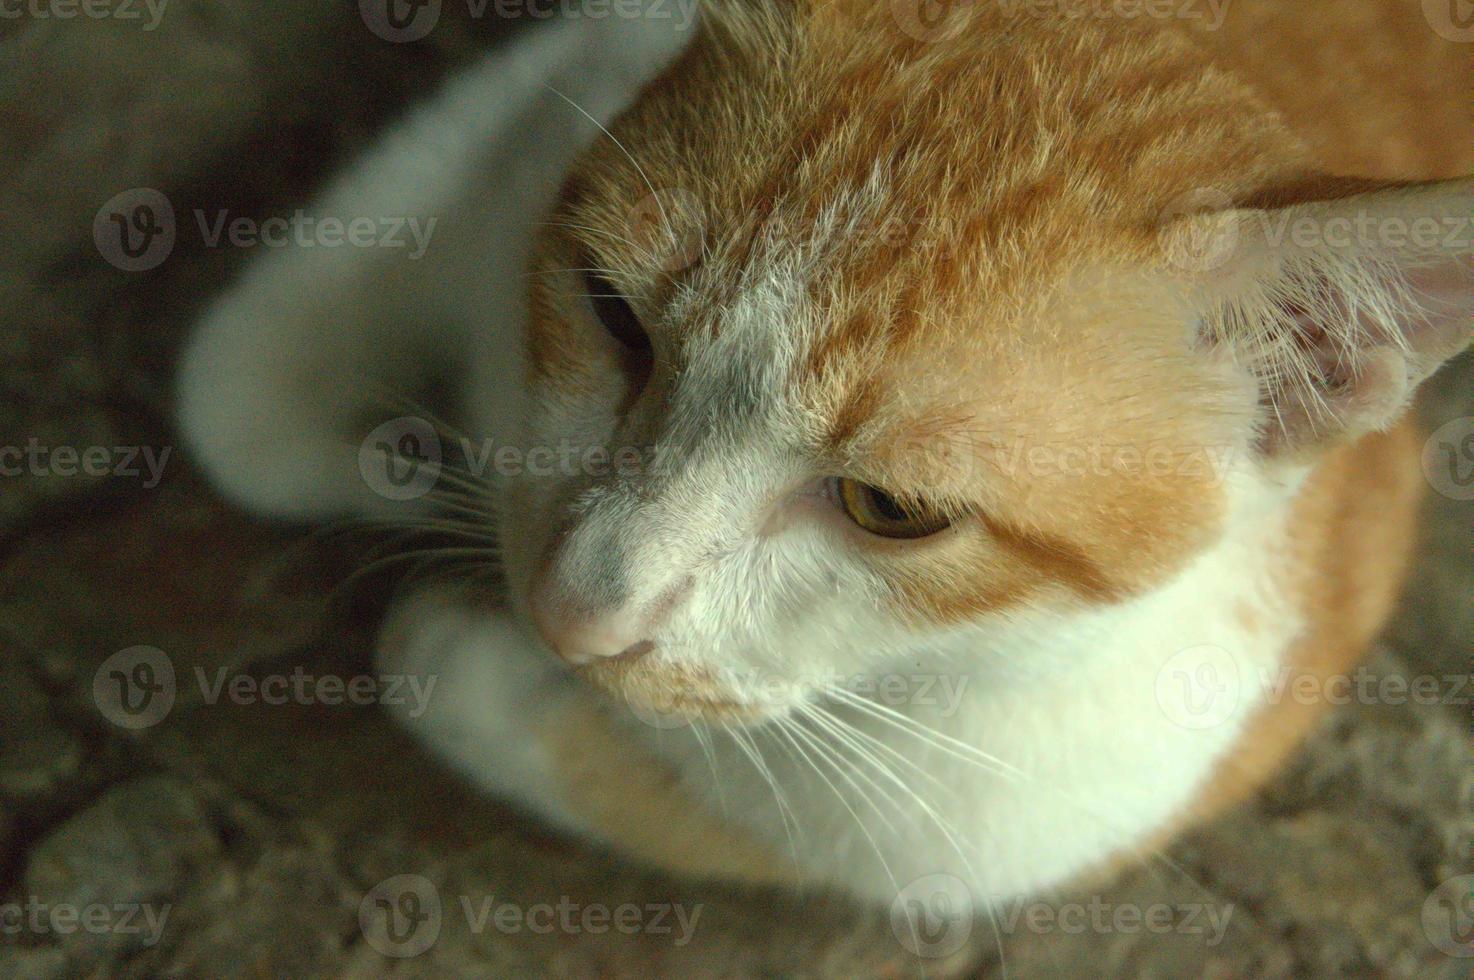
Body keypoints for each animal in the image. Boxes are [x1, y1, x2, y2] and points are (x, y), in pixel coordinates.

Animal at [181, 1, 1474, 919]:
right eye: (613, 314)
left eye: (888, 507)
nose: (569, 611)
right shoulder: (583, 58)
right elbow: (231, 403)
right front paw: (398, 449)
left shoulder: (1035, 805)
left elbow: (454, 676)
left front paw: (457, 621)